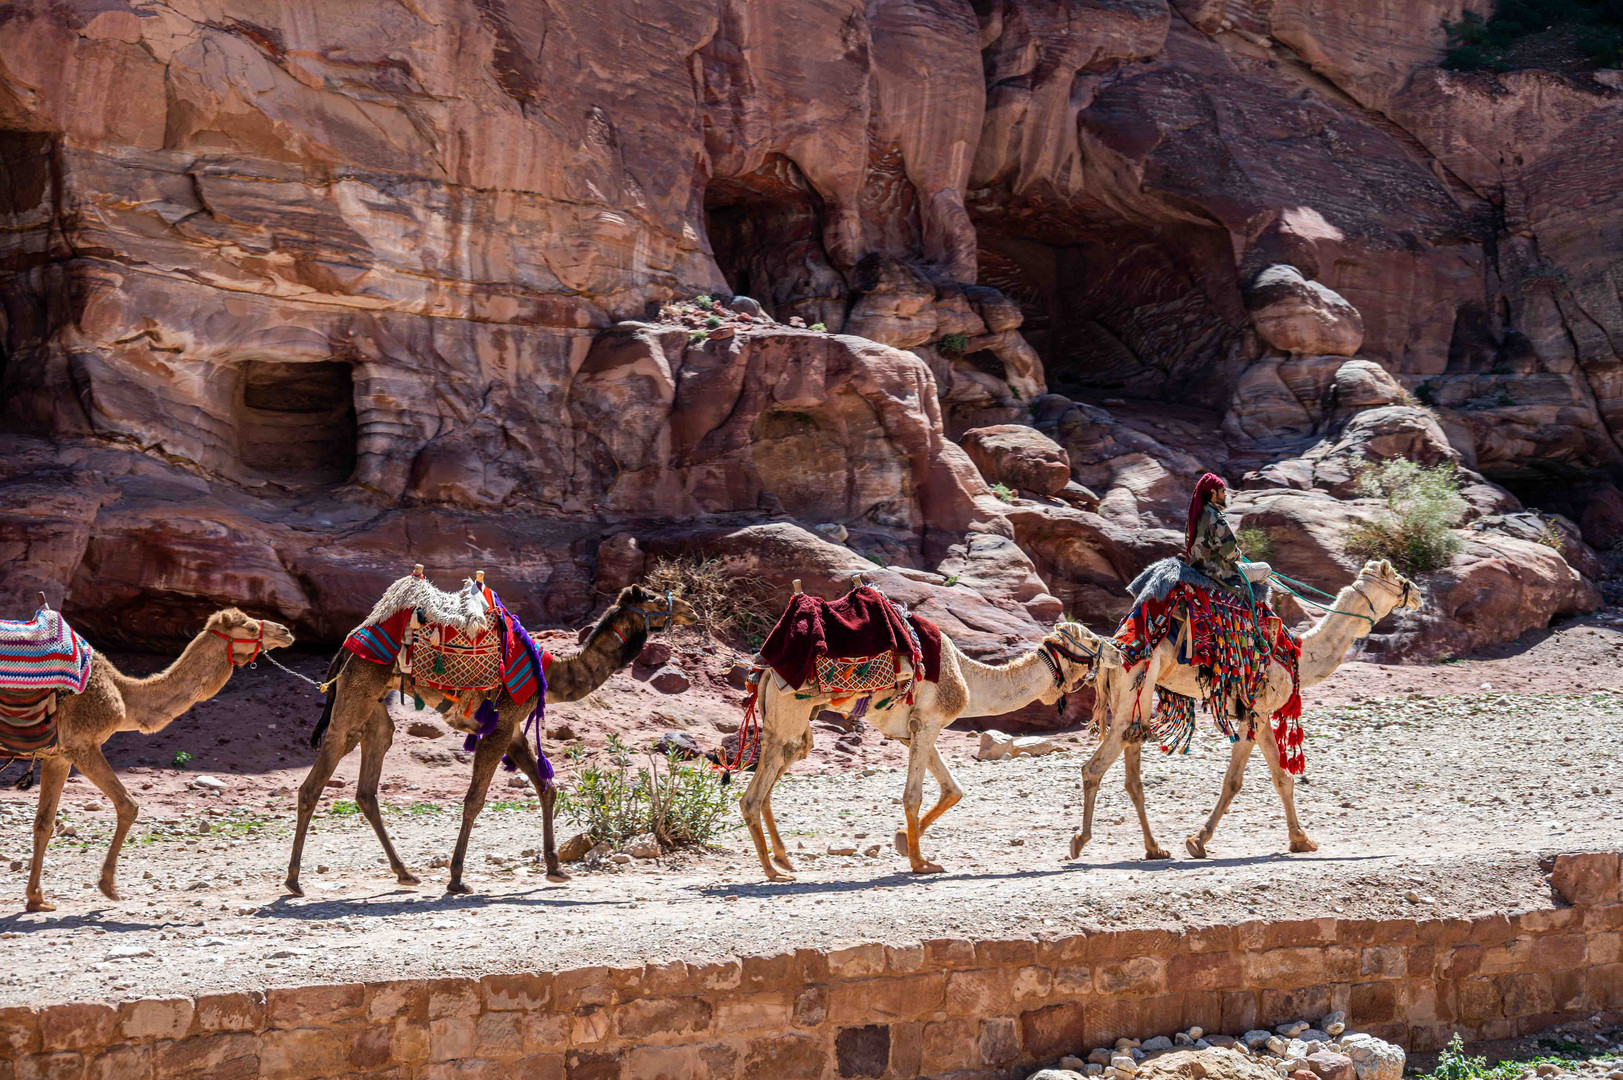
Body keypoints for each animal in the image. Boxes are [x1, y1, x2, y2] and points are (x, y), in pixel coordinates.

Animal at [19, 607, 295, 909]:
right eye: (250, 628)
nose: (286, 632)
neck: (125, 696)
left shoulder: (57, 755)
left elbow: (44, 822)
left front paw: (36, 898)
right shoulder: (82, 744)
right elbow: (128, 805)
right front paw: (108, 886)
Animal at [285, 581, 691, 889]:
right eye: (656, 599)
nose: (688, 607)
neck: (550, 671)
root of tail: (347, 647)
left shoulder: (511, 729)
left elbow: (547, 787)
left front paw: (555, 868)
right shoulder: (503, 722)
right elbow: (475, 800)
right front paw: (457, 878)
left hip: (374, 705)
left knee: (368, 782)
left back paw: (405, 873)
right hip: (359, 688)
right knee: (316, 780)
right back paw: (293, 881)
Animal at [743, 620, 1116, 883]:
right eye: (1093, 641)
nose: (1116, 651)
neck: (968, 677)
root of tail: (764, 673)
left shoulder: (912, 730)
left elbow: (953, 789)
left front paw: (901, 840)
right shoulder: (929, 721)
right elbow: (913, 795)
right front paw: (921, 862)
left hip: (794, 726)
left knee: (775, 775)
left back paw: (783, 859)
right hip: (789, 713)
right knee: (752, 795)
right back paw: (774, 872)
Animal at [1071, 558, 1428, 864]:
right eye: (1397, 579)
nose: (1418, 594)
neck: (1298, 654)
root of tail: (1114, 649)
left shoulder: (1257, 714)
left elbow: (1279, 777)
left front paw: (1300, 840)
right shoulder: (1256, 711)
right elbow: (1241, 780)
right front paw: (1199, 841)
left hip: (1134, 702)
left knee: (1132, 773)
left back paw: (1154, 849)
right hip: (1136, 687)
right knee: (1094, 767)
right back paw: (1079, 841)